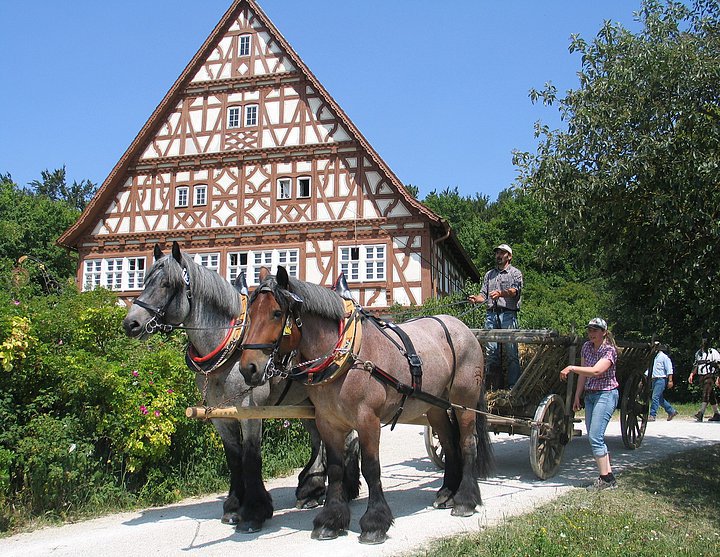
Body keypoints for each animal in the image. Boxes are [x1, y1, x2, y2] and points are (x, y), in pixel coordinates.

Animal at [239, 264, 492, 544]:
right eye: (250, 314)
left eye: (276, 313)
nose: (248, 368)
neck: (347, 356)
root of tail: (464, 329)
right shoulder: (328, 422)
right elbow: (335, 469)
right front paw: (330, 520)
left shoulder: (367, 420)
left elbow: (371, 468)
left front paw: (374, 522)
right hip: (435, 406)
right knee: (448, 443)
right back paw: (447, 492)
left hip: (464, 402)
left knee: (467, 443)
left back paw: (465, 500)